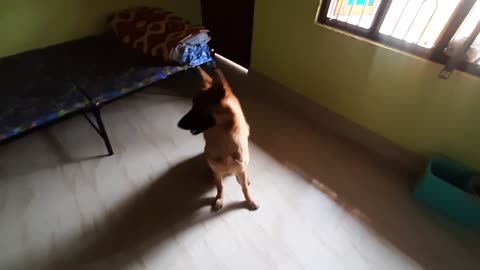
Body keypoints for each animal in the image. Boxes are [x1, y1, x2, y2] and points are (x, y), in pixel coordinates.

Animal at [177, 66, 258, 210]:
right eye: (192, 105)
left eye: (201, 108)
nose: (178, 124)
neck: (223, 138)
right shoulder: (217, 172)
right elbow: (220, 186)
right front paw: (219, 198)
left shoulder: (240, 166)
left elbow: (245, 189)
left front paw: (250, 200)